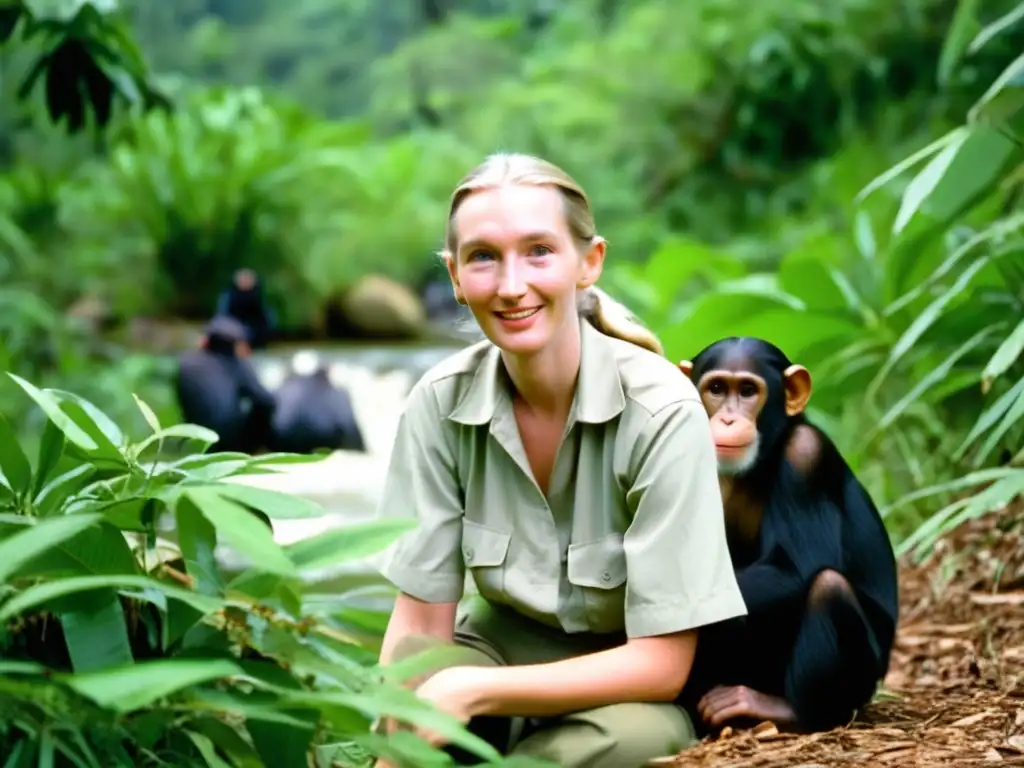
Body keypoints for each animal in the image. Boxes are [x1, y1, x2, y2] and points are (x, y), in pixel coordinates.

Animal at [675, 339, 901, 737]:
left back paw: (785, 711)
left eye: (747, 392)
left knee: (828, 588)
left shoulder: (807, 456)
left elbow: (795, 568)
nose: (728, 419)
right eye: (716, 389)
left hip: (860, 684)